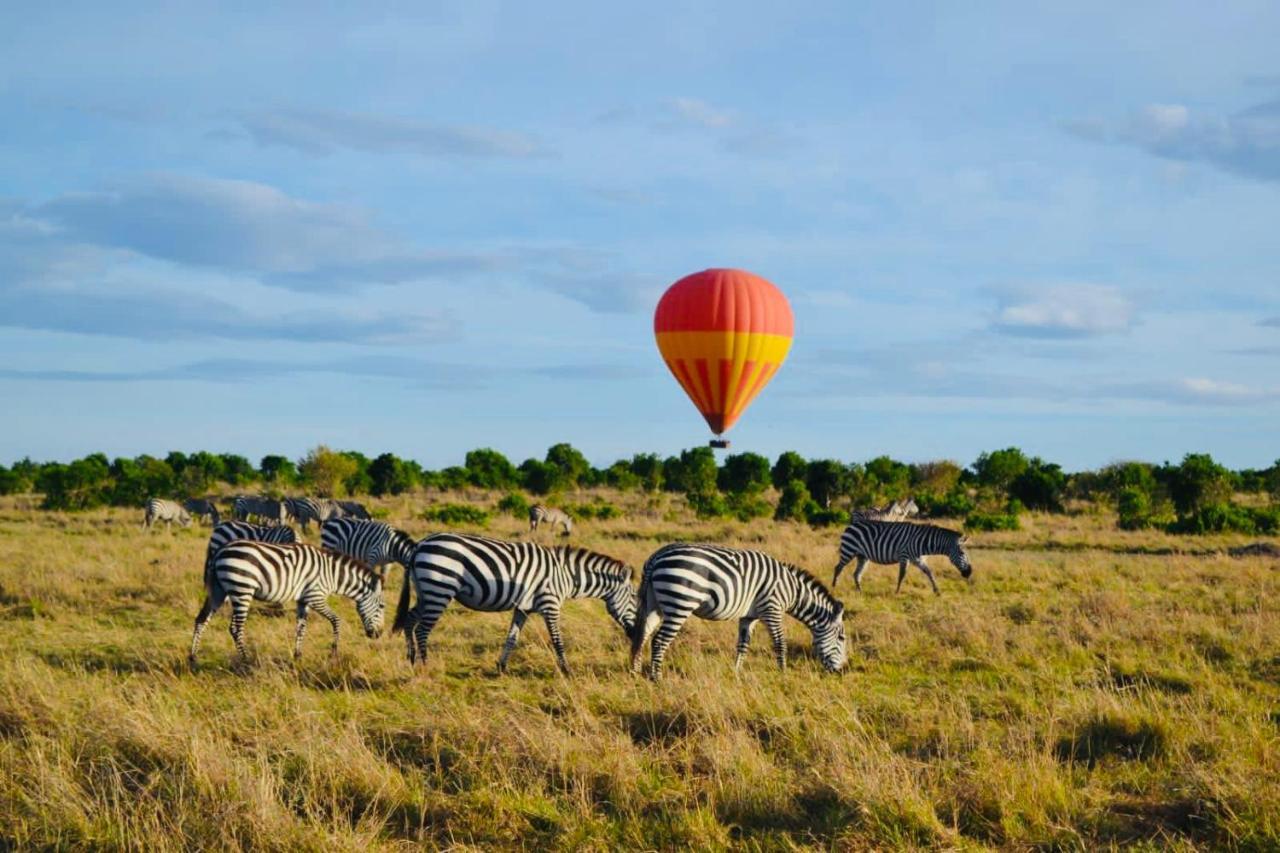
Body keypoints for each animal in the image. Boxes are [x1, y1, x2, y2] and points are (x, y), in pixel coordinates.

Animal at [186, 540, 381, 666]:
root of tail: (220, 550)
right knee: (236, 628)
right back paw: (246, 660)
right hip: (242, 589)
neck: (332, 574)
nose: (378, 635)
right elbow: (336, 620)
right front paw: (333, 651)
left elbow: (301, 627)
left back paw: (193, 658)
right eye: (381, 607)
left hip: (218, 591)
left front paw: (297, 656)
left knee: (201, 620)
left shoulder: (303, 600)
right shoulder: (315, 596)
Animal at [386, 535, 632, 676]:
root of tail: (420, 545)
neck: (567, 575)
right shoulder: (550, 604)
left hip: (426, 591)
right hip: (439, 589)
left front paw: (501, 667)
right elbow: (557, 639)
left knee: (410, 620)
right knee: (422, 629)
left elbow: (512, 637)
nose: (633, 632)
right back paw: (426, 666)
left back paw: (411, 659)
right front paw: (567, 670)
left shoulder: (523, 607)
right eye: (633, 597)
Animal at [627, 540, 844, 681]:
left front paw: (736, 672)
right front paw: (783, 674)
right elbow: (780, 643)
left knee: (643, 636)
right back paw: (657, 678)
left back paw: (636, 674)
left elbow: (743, 645)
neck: (792, 590)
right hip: (679, 603)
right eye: (841, 638)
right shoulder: (772, 609)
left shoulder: (749, 616)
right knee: (659, 640)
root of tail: (657, 557)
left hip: (654, 604)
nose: (841, 672)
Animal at [829, 514, 967, 594]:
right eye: (962, 553)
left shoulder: (917, 559)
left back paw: (860, 591)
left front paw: (937, 591)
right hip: (848, 550)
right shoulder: (904, 556)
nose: (969, 573)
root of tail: (851, 525)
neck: (921, 541)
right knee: (838, 568)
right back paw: (834, 586)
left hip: (862, 556)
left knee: (856, 574)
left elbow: (929, 572)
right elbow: (902, 575)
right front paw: (897, 591)